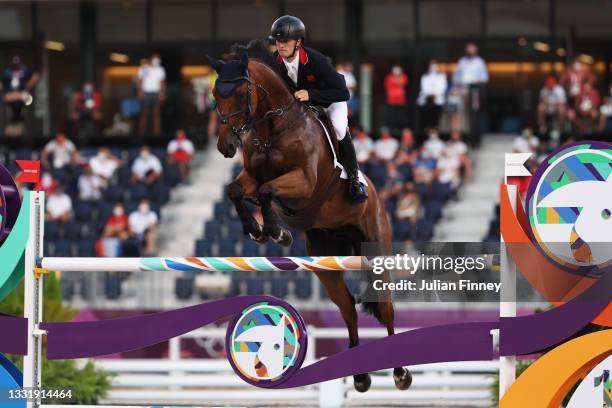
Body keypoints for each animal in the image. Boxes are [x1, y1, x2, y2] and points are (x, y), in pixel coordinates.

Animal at [208, 42, 414, 392]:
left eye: (239, 92)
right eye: (214, 93)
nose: (226, 145)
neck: (272, 129)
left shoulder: (303, 182)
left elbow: (267, 191)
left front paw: (275, 231)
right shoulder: (252, 175)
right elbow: (238, 191)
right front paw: (258, 230)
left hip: (376, 252)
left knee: (385, 308)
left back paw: (400, 373)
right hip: (325, 263)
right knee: (348, 310)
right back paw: (360, 377)